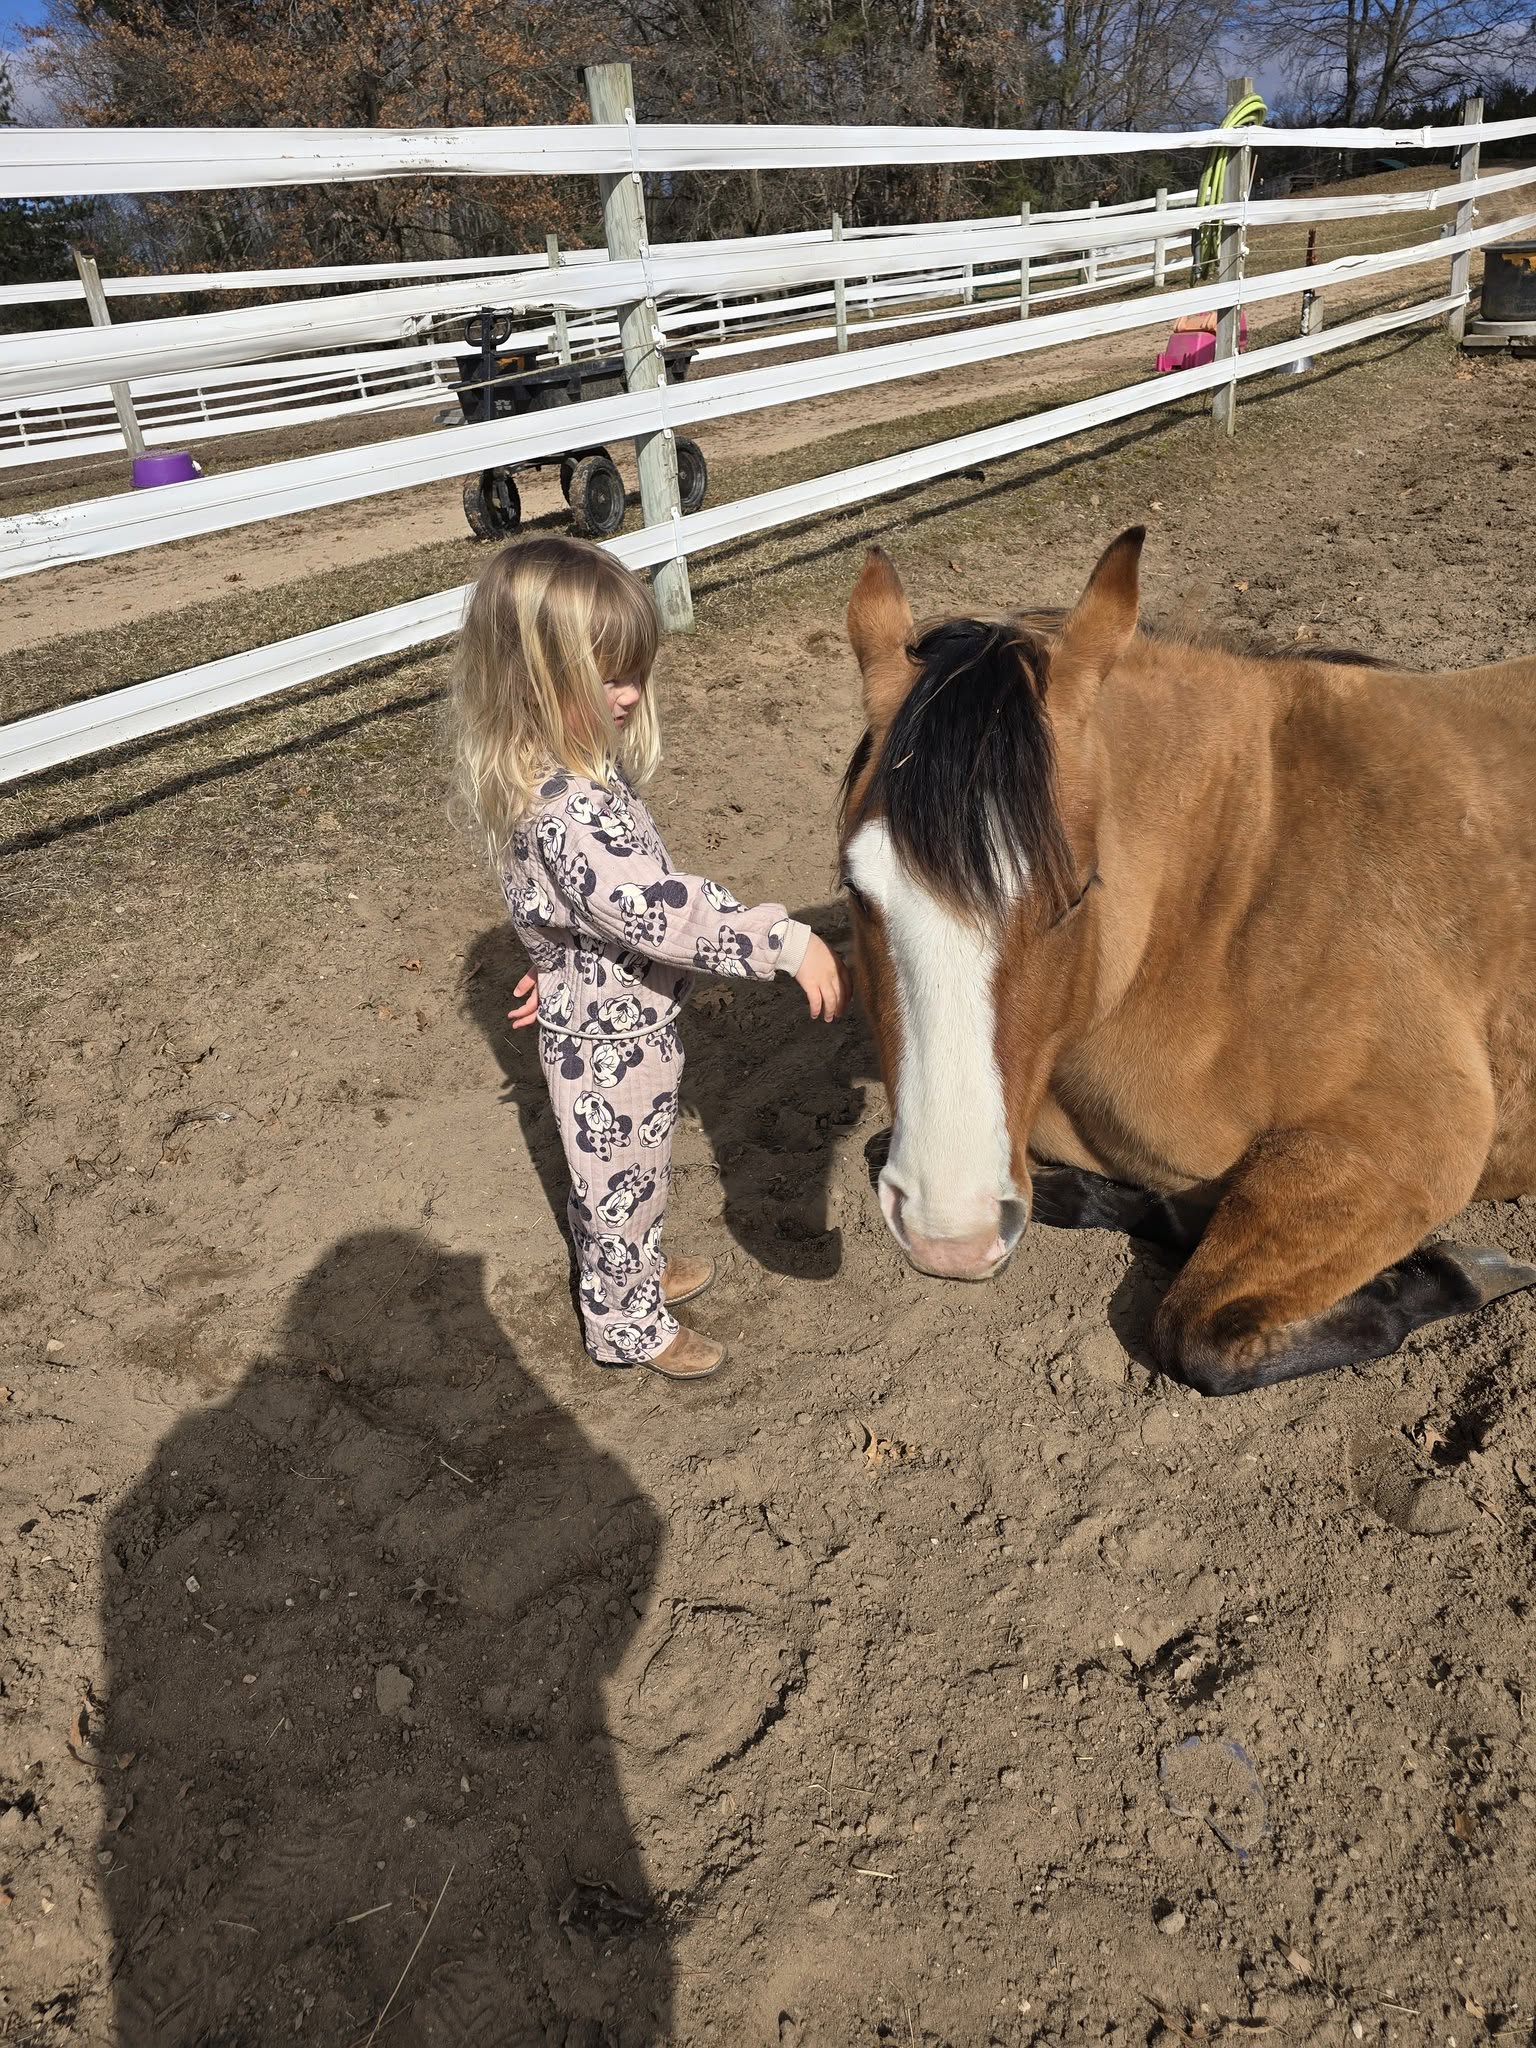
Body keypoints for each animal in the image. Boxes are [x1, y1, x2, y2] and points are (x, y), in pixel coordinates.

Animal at [837, 526, 1536, 1396]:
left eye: (1075, 895)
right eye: (855, 887)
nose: (949, 1231)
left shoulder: (1412, 1146)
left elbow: (1198, 1335)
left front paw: (1449, 1273)